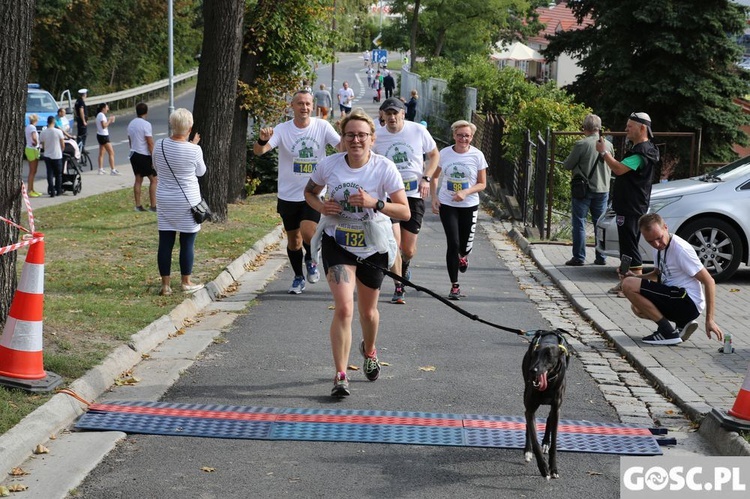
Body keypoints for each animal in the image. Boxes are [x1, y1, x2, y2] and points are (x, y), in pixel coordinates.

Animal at [524, 328, 572, 480]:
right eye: (535, 354)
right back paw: (527, 451)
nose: (532, 370)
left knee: (549, 418)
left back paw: (546, 442)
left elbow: (554, 444)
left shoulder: (557, 409)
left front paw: (553, 468)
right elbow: (534, 438)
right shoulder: (530, 410)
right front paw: (543, 468)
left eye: (549, 355)